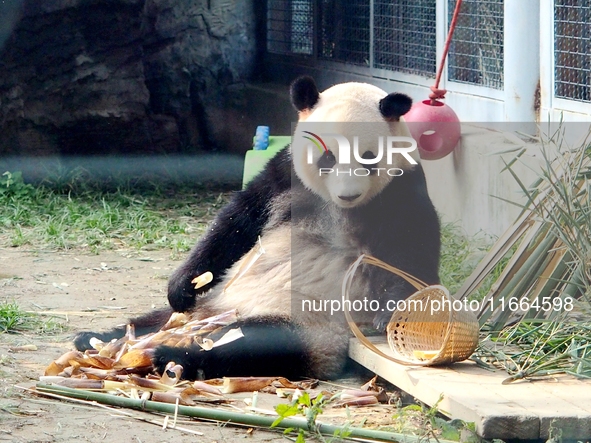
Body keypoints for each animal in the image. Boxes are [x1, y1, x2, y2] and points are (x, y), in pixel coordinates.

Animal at [74, 76, 442, 382]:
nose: (347, 194)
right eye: (328, 157)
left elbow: (413, 251)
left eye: (368, 157)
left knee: (256, 344)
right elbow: (238, 221)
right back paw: (98, 339)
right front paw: (183, 283)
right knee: (153, 319)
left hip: (307, 324)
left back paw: (176, 356)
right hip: (205, 304)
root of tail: (217, 316)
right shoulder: (285, 174)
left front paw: (392, 311)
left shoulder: (401, 190)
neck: (339, 206)